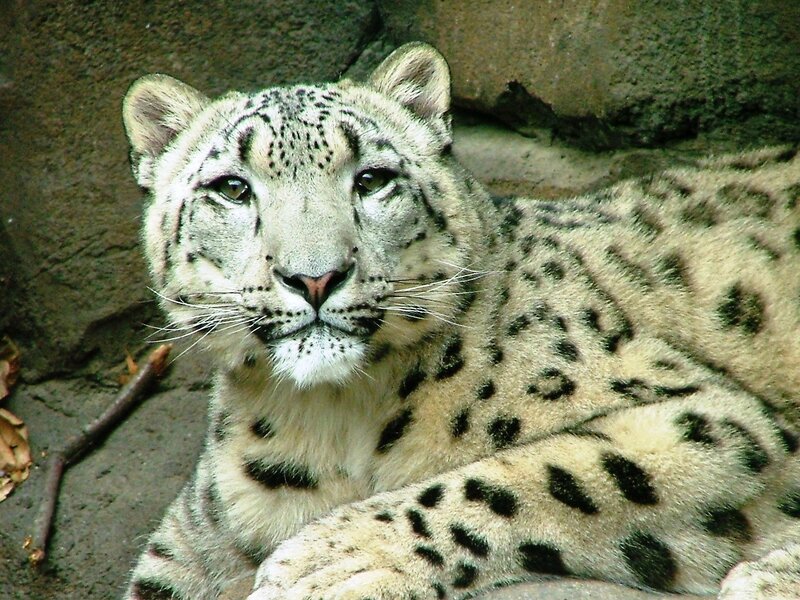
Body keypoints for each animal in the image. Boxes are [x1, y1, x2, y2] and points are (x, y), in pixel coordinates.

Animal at [120, 42, 800, 600]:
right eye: (231, 188)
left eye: (372, 179)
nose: (314, 277)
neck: (331, 416)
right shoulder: (197, 536)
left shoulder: (710, 418)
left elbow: (533, 475)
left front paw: (332, 559)